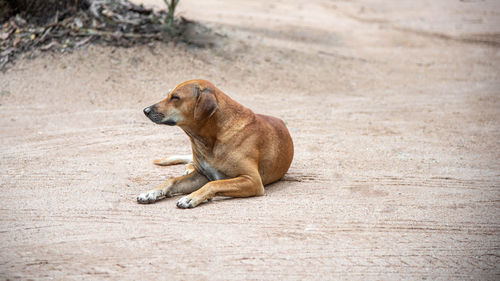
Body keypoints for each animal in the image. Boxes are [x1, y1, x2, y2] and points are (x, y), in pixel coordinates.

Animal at [137, 80, 292, 207]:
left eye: (175, 97)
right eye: (169, 95)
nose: (145, 110)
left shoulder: (252, 180)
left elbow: (213, 183)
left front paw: (191, 197)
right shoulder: (202, 175)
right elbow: (172, 180)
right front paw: (151, 193)